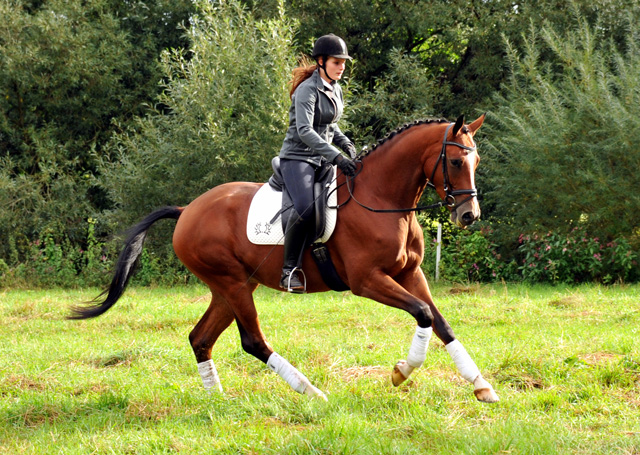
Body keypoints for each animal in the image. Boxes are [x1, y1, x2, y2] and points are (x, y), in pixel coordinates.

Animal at [71, 114, 500, 402]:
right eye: (456, 162)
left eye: (476, 161)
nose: (469, 215)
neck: (382, 199)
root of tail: (187, 209)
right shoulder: (367, 281)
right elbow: (423, 314)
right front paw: (400, 373)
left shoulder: (411, 274)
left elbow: (440, 321)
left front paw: (481, 385)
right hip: (233, 285)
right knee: (252, 341)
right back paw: (311, 392)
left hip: (230, 288)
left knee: (200, 338)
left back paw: (216, 399)